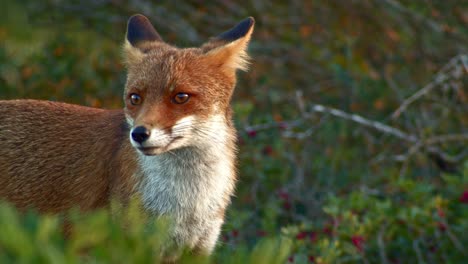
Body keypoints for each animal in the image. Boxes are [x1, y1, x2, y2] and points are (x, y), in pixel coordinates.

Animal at [0, 14, 254, 256]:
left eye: (181, 97)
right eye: (135, 98)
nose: (139, 133)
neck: (187, 203)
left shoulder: (195, 250)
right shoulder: (124, 246)